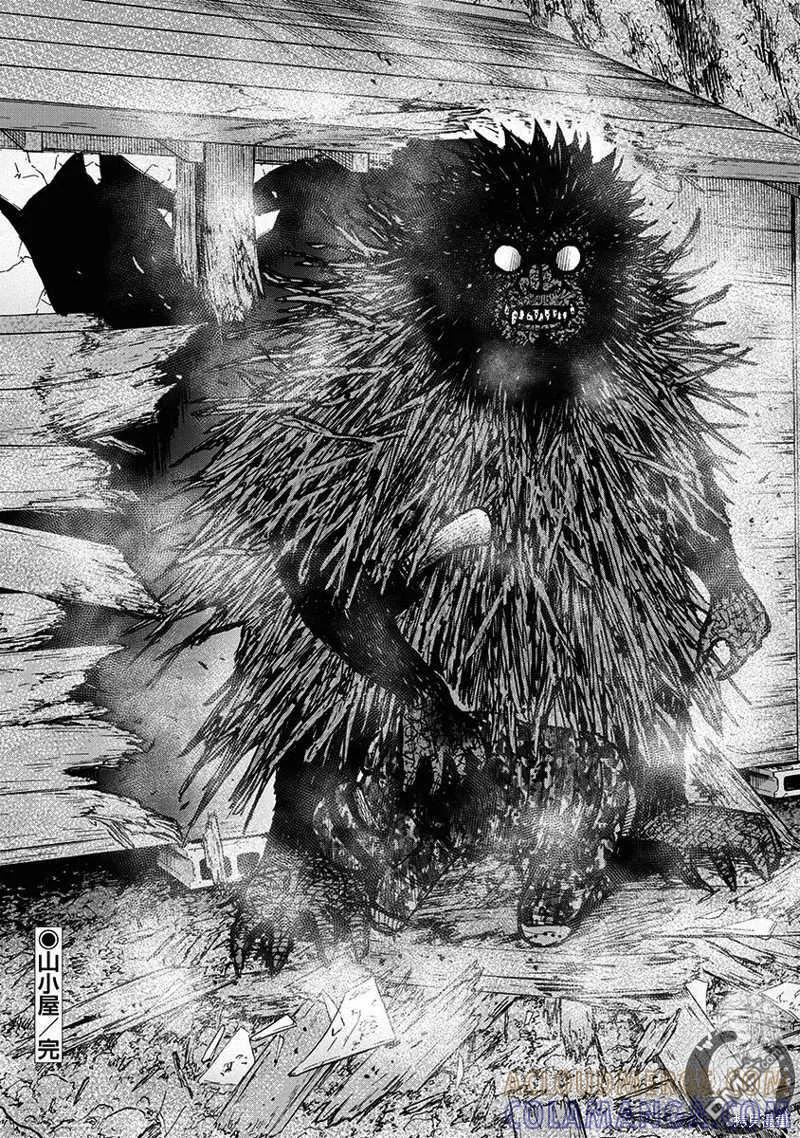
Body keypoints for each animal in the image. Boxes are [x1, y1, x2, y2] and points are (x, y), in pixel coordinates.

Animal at [161, 124, 778, 970]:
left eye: (571, 256)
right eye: (508, 258)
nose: (547, 289)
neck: (522, 386)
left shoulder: (635, 388)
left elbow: (666, 491)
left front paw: (736, 604)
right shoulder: (366, 389)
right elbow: (328, 558)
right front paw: (442, 722)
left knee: (623, 630)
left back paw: (652, 829)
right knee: (329, 707)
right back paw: (296, 884)